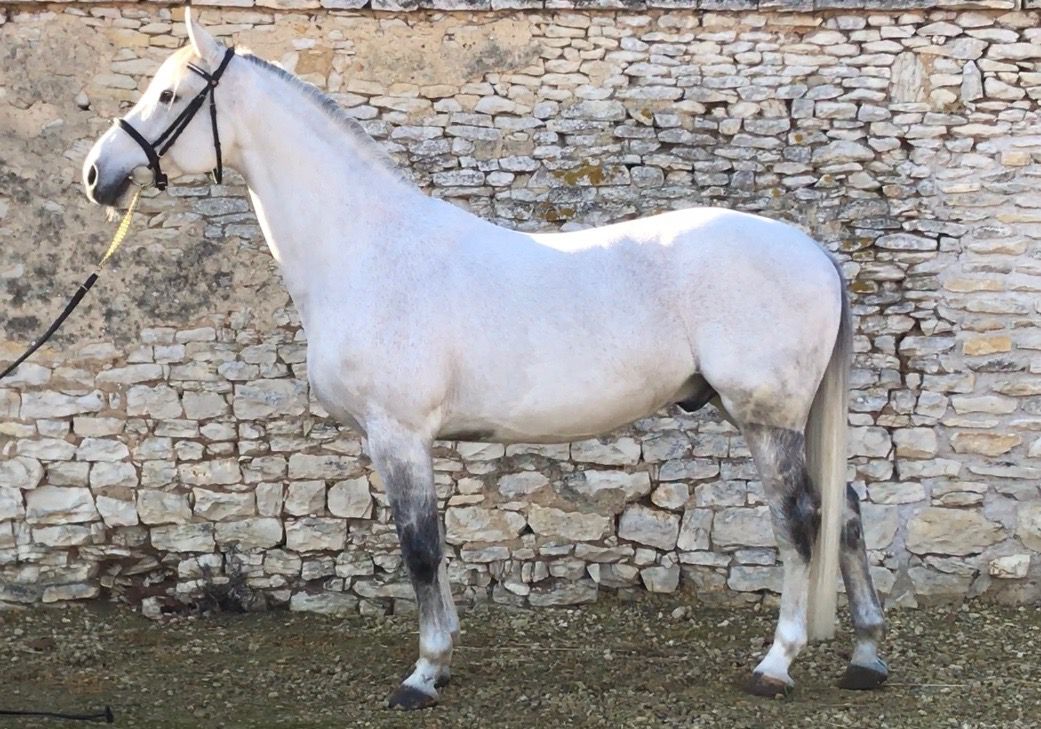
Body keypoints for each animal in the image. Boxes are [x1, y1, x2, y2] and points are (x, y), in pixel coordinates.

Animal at [81, 8, 888, 710]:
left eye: (170, 94)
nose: (97, 173)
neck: (369, 249)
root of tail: (813, 249)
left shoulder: (398, 434)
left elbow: (420, 549)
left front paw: (422, 674)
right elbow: (433, 547)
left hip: (765, 418)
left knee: (801, 520)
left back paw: (776, 664)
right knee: (846, 513)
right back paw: (865, 658)